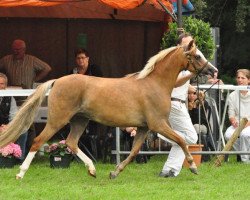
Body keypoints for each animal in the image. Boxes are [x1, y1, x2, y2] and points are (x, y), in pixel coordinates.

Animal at [0, 40, 217, 180]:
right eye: (197, 55)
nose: (213, 71)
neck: (154, 83)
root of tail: (57, 81)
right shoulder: (158, 124)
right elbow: (181, 140)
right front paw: (193, 167)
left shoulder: (144, 128)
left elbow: (134, 152)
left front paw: (114, 172)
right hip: (57, 120)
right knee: (38, 142)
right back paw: (20, 173)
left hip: (80, 120)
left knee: (71, 142)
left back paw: (92, 170)